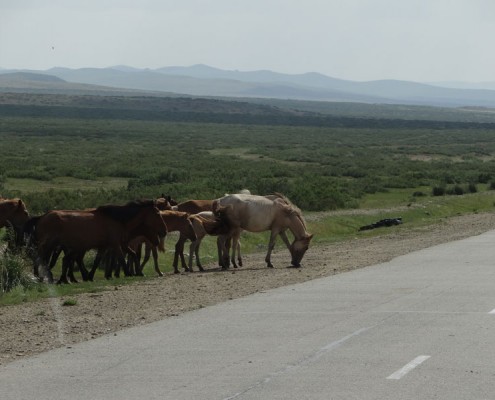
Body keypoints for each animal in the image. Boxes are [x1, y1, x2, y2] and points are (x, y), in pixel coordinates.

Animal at [33, 199, 169, 282]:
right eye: (158, 213)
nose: (165, 231)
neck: (118, 220)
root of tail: (43, 216)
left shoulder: (106, 246)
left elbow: (97, 261)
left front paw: (90, 276)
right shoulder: (116, 244)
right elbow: (121, 258)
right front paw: (128, 273)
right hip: (50, 244)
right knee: (42, 258)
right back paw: (45, 277)